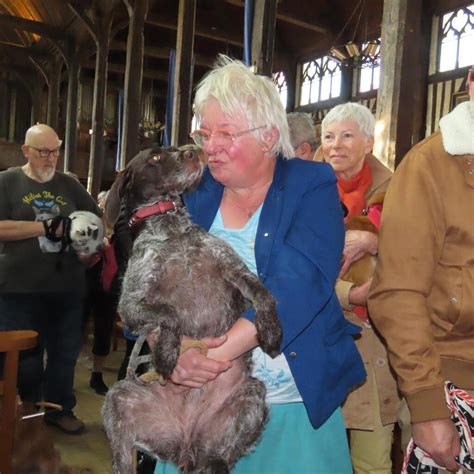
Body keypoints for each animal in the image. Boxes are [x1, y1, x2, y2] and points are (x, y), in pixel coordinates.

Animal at [103, 145, 282, 474]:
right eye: (155, 157)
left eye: (172, 147)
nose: (194, 150)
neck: (171, 228)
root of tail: (186, 446)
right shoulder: (131, 304)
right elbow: (169, 315)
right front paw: (167, 352)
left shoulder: (235, 270)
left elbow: (265, 294)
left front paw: (271, 331)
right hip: (118, 400)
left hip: (252, 396)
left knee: (223, 455)